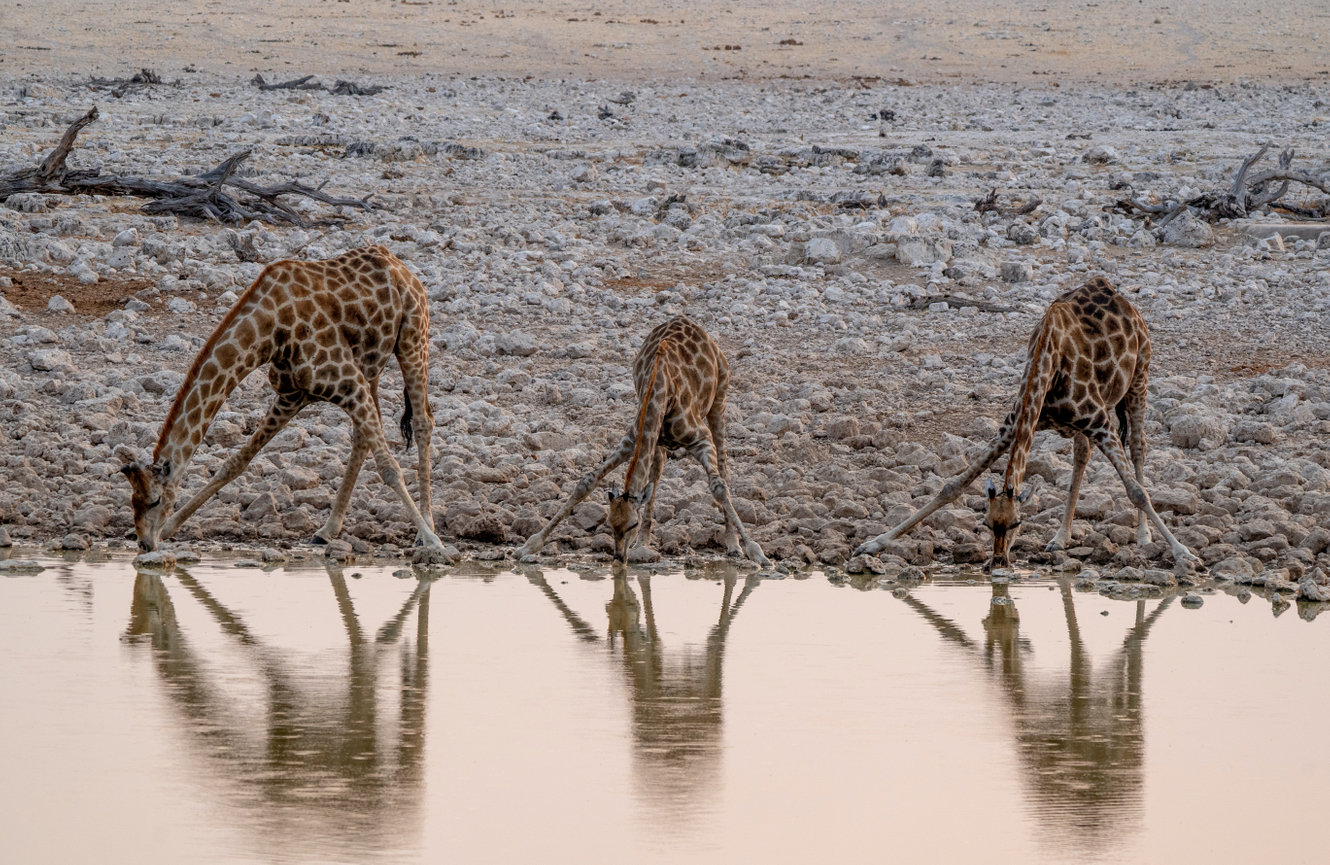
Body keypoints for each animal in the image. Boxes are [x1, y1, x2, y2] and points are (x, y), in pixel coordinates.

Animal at [118, 245, 444, 556]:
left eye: (155, 500)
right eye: (132, 500)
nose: (144, 543)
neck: (269, 330)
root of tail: (402, 267)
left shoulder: (349, 384)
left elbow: (389, 468)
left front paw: (433, 541)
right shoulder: (292, 395)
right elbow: (236, 462)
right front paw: (172, 526)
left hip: (413, 338)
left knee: (423, 421)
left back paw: (425, 527)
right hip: (371, 366)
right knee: (363, 438)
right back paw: (327, 530)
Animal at [515, 315, 769, 566]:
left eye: (632, 524)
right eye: (609, 523)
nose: (619, 558)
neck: (661, 390)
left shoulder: (700, 438)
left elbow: (719, 488)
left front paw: (757, 552)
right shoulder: (634, 439)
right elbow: (587, 482)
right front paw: (531, 544)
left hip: (719, 400)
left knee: (723, 464)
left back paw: (733, 545)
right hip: (659, 441)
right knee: (655, 475)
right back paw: (644, 544)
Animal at [854, 277, 1198, 570]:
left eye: (1018, 523)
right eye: (987, 523)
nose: (998, 562)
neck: (1048, 367)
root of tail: (1117, 294)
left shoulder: (1100, 422)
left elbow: (1136, 491)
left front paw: (1185, 554)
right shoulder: (1015, 424)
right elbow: (952, 486)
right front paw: (872, 544)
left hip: (1139, 377)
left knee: (1139, 448)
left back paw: (1143, 535)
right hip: (1089, 420)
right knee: (1082, 455)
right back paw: (1060, 538)